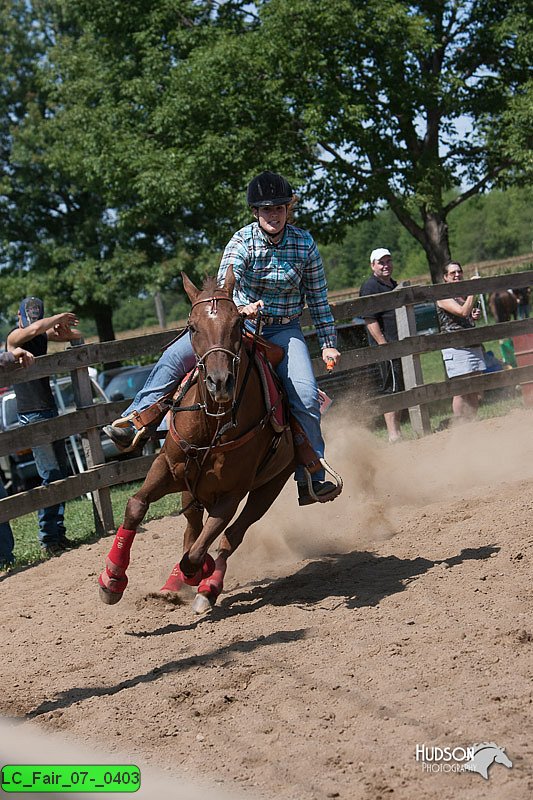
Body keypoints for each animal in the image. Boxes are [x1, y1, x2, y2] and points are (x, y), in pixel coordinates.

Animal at [97, 268, 294, 612]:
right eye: (192, 326)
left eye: (238, 323)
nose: (220, 382)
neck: (211, 423)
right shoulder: (166, 467)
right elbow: (136, 506)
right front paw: (112, 579)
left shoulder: (232, 494)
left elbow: (198, 553)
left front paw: (202, 572)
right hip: (191, 488)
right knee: (193, 525)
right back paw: (172, 585)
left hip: (270, 486)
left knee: (229, 536)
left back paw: (207, 587)